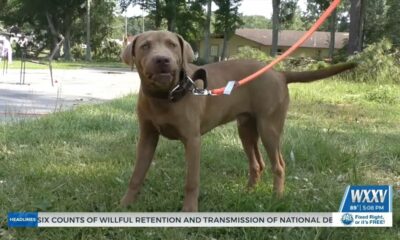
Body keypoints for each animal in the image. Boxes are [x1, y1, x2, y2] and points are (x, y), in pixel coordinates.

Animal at [119, 30, 356, 212]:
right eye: (145, 46)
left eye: (171, 45)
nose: (162, 60)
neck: (165, 96)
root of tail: (278, 73)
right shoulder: (147, 137)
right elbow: (136, 174)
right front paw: (126, 204)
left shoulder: (193, 140)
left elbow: (191, 181)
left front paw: (189, 211)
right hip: (246, 129)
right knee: (257, 164)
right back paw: (248, 193)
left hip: (269, 128)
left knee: (278, 164)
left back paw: (277, 198)